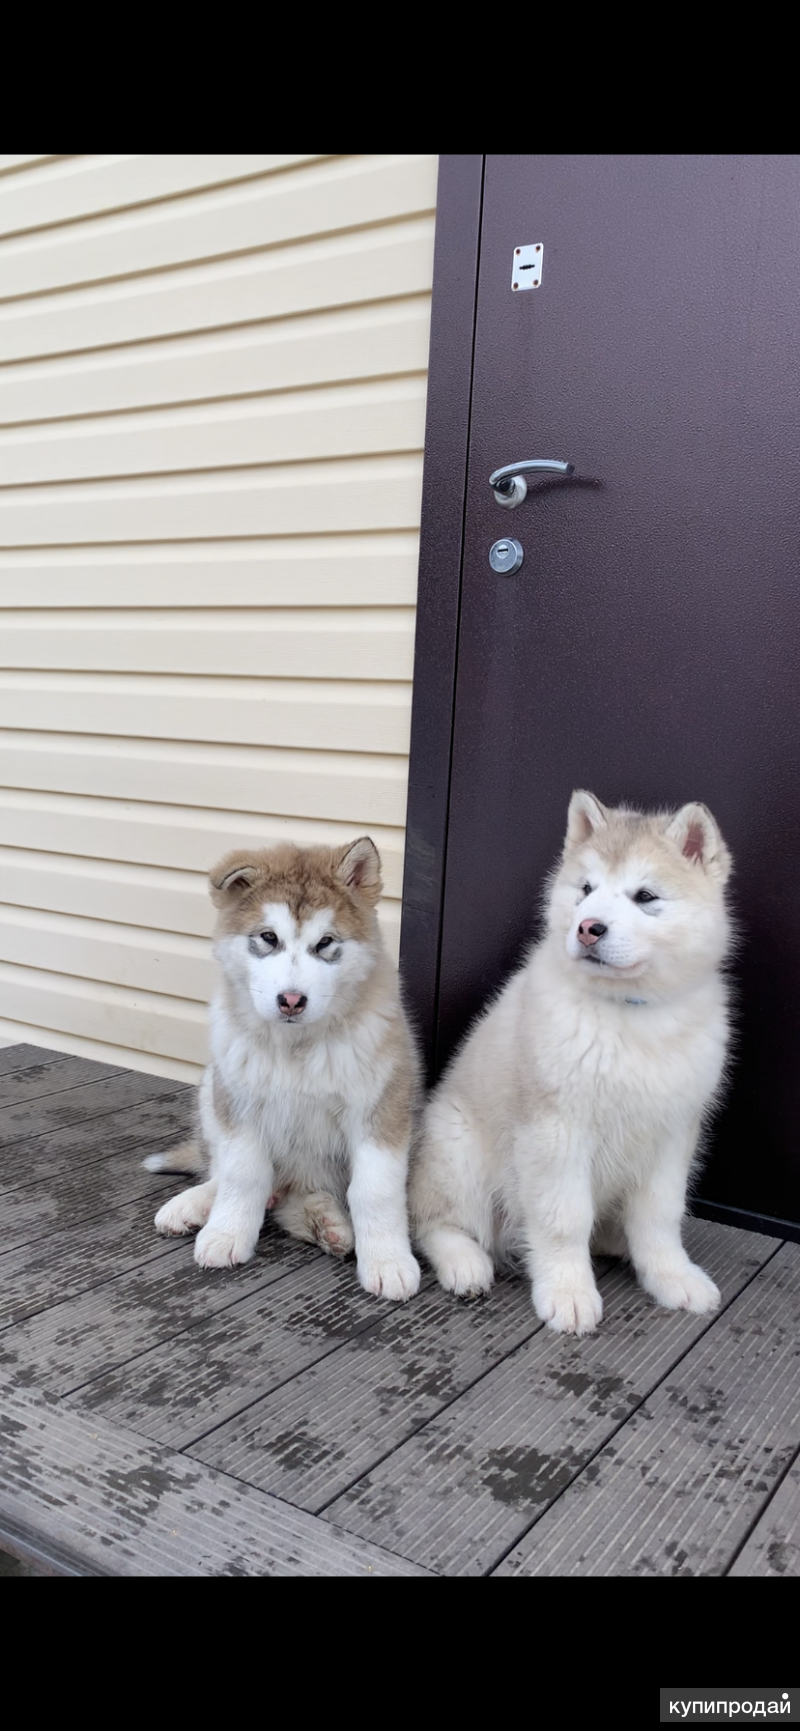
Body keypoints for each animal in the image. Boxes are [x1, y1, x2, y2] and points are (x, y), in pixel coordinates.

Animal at [144, 838, 422, 1301]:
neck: (297, 1047)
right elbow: (241, 1175)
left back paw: (328, 1223)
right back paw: (194, 1204)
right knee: (221, 1170)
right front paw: (227, 1233)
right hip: (212, 1087)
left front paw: (388, 1261)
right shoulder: (240, 1104)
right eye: (268, 938)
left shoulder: (381, 1108)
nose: (291, 1000)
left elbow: (375, 1190)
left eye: (325, 942)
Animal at [410, 791, 733, 1335]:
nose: (588, 928)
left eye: (645, 896)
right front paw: (568, 1292)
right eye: (586, 889)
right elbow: (564, 1221)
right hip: (457, 1148)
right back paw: (464, 1262)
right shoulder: (556, 1132)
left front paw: (672, 1275)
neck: (629, 1013)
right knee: (434, 1221)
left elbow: (661, 1216)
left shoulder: (672, 1134)